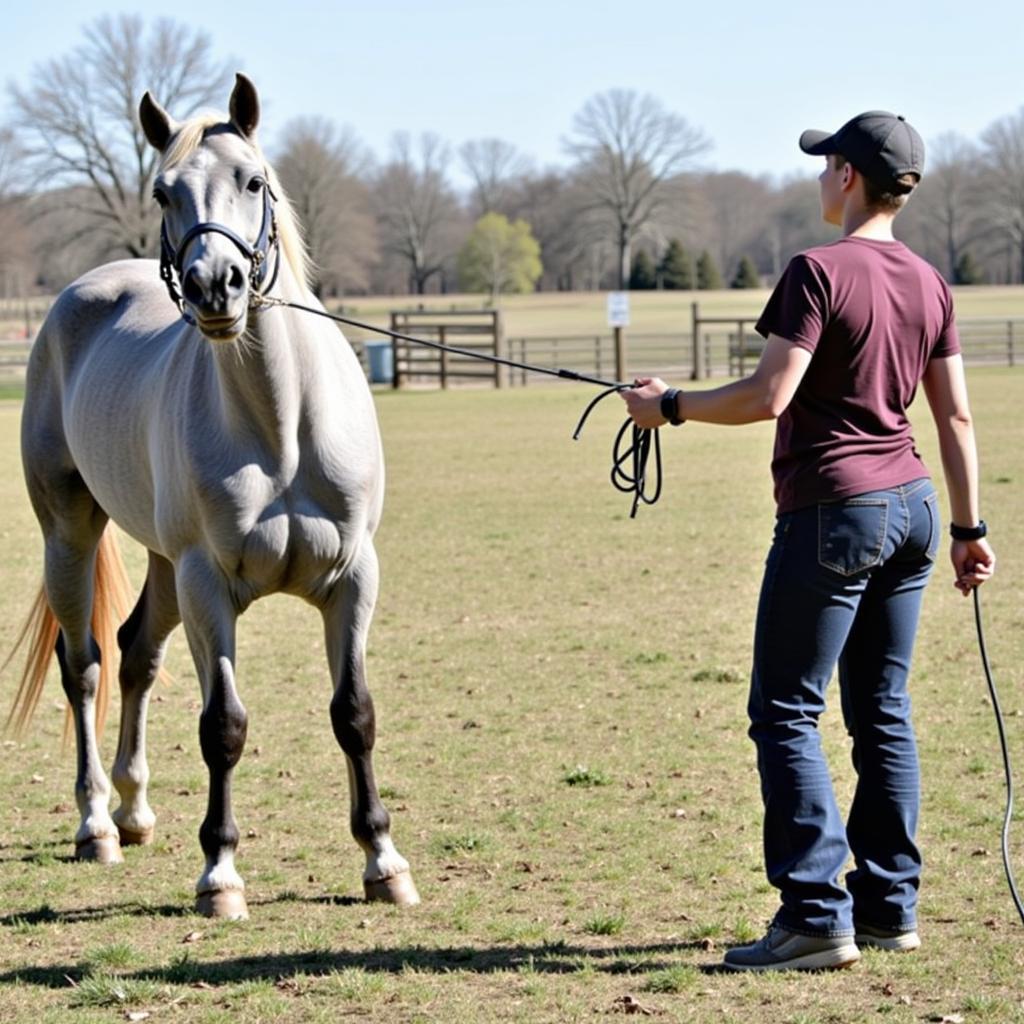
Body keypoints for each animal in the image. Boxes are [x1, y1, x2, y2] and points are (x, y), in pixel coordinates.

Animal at [8, 74, 415, 921]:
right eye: (164, 192)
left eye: (253, 182)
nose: (213, 287)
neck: (282, 424)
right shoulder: (209, 587)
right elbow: (222, 726)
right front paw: (220, 874)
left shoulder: (352, 579)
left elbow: (354, 714)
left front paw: (383, 861)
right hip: (73, 535)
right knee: (85, 666)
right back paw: (97, 824)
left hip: (163, 565)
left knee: (136, 654)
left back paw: (134, 811)